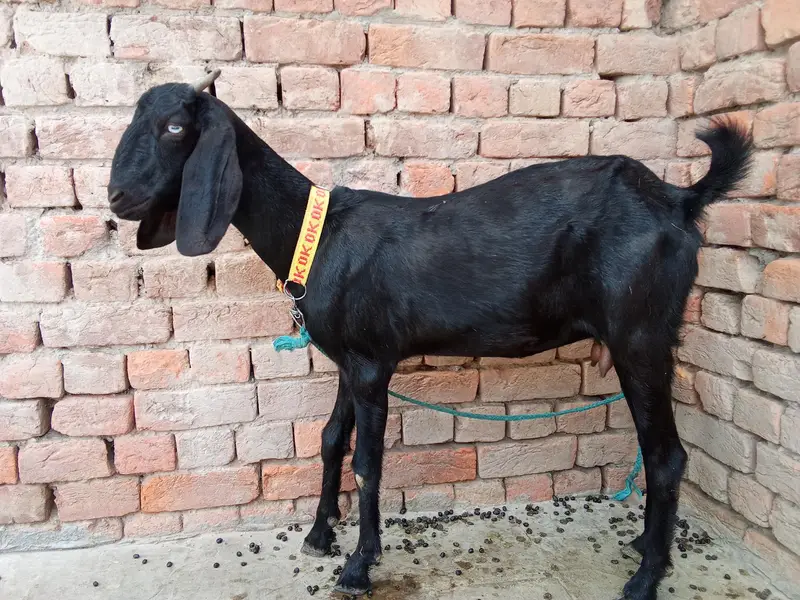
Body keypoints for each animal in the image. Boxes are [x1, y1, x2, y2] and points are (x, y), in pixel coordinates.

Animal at [108, 70, 752, 600]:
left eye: (174, 126)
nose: (118, 197)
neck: (320, 237)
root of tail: (679, 200)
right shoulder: (350, 358)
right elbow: (330, 439)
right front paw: (319, 534)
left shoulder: (372, 363)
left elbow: (367, 461)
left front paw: (357, 567)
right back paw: (646, 547)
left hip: (640, 335)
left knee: (667, 456)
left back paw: (644, 579)